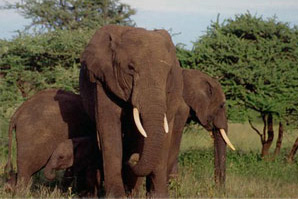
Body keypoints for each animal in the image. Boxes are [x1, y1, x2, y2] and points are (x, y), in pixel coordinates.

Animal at [78, 24, 187, 197]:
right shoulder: (103, 81)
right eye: (130, 68)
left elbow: (165, 133)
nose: (134, 159)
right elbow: (109, 129)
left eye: (169, 73)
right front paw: (116, 196)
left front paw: (159, 196)